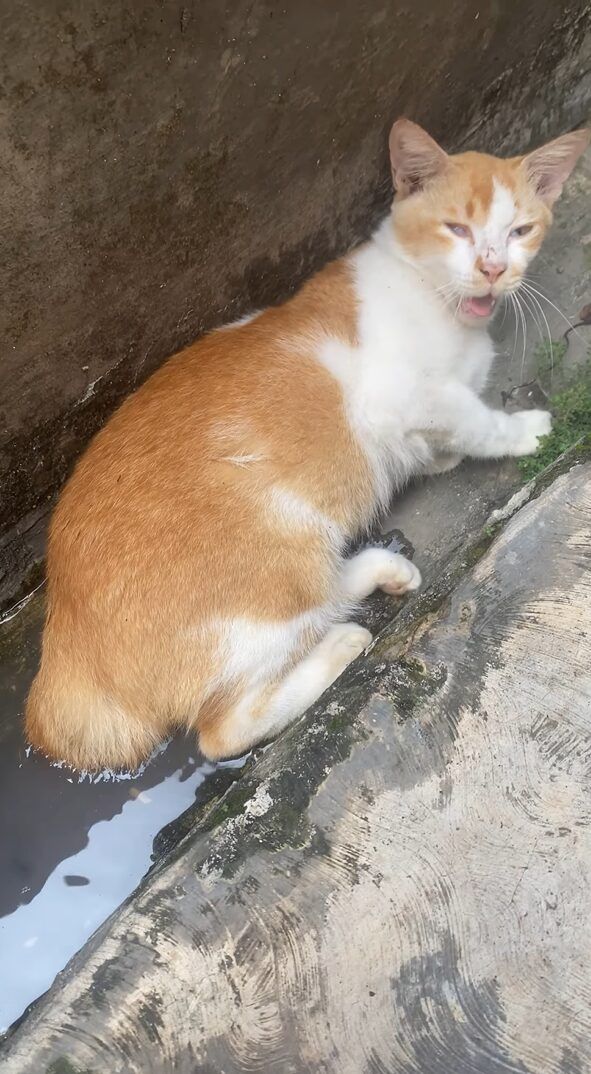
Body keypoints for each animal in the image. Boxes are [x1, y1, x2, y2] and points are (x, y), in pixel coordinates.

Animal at [25, 118, 589, 771]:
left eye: (520, 230)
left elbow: (445, 436)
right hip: (274, 563)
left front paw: (442, 454)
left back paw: (377, 570)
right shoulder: (399, 397)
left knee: (321, 596)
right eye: (457, 228)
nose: (494, 268)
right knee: (224, 728)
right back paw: (343, 641)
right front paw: (523, 431)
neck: (440, 302)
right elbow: (475, 420)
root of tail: (64, 641)